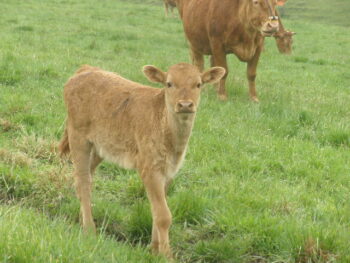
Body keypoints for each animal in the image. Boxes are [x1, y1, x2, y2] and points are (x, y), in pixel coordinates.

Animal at [58, 63, 226, 258]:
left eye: (198, 84)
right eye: (169, 84)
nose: (185, 104)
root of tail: (85, 69)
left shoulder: (168, 171)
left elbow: (156, 210)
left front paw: (153, 249)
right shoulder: (149, 169)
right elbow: (163, 215)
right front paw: (166, 255)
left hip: (100, 147)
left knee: (85, 176)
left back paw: (82, 220)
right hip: (78, 137)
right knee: (83, 182)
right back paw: (90, 230)